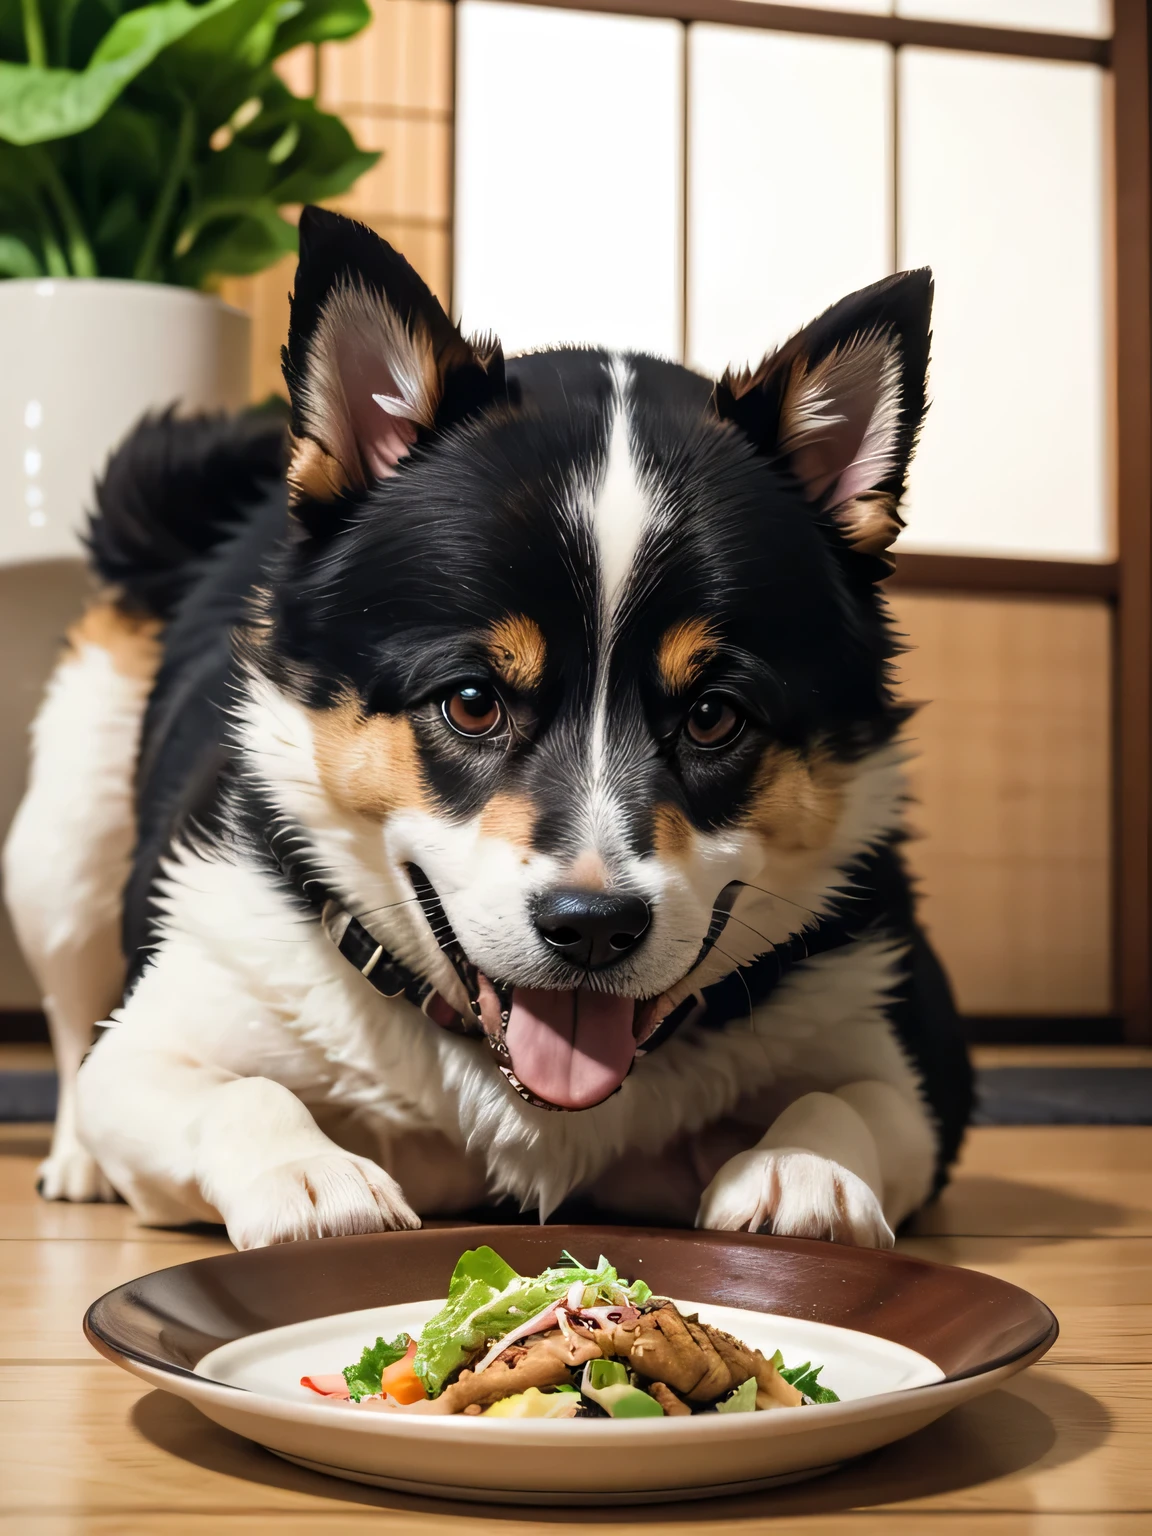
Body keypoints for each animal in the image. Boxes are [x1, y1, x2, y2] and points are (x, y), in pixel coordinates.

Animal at [4, 210, 976, 1253]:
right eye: (472, 702)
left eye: (715, 716)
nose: (593, 929)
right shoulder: (165, 1031)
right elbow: (230, 1089)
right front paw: (310, 1177)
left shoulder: (911, 1049)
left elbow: (849, 1097)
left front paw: (803, 1166)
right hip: (63, 840)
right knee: (71, 1007)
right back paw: (74, 1161)